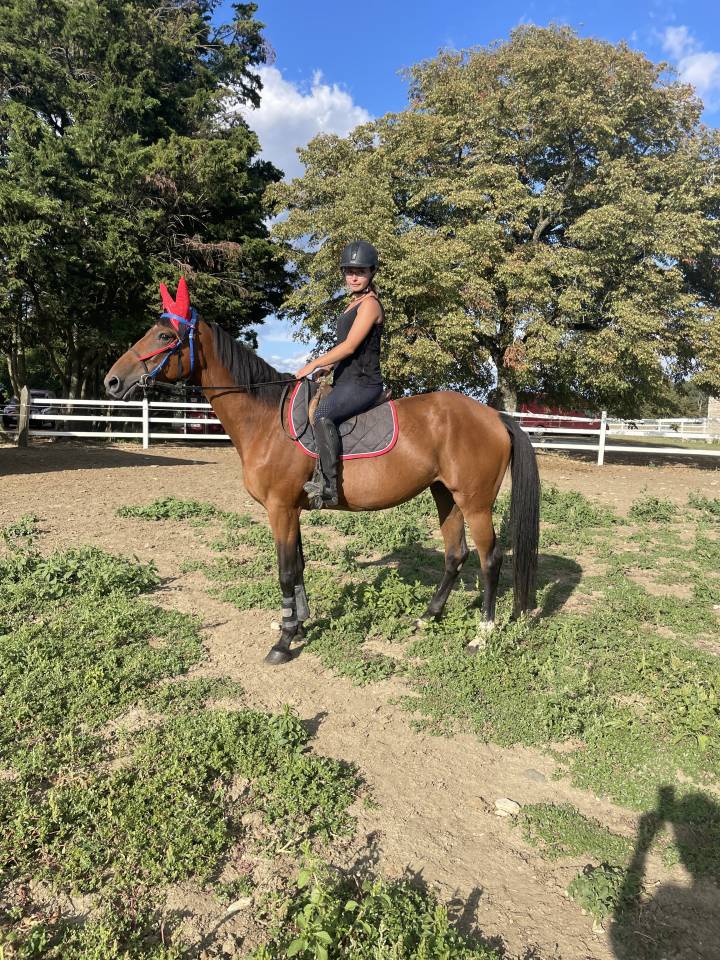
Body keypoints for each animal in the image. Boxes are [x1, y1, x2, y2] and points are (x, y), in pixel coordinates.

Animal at [104, 280, 540, 665]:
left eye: (164, 336)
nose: (112, 381)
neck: (267, 420)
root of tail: (494, 416)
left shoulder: (279, 508)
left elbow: (284, 572)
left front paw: (283, 643)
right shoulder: (291, 509)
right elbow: (297, 567)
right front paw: (298, 626)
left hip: (475, 502)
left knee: (489, 558)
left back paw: (482, 634)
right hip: (444, 494)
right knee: (455, 554)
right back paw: (427, 617)